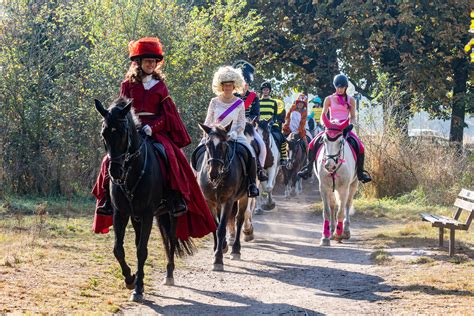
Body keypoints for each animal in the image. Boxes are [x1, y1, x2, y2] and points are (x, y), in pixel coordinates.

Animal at [95, 98, 193, 302]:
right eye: (104, 133)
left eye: (123, 133)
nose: (115, 172)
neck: (132, 171)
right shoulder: (120, 213)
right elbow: (118, 249)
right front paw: (130, 279)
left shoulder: (148, 214)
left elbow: (142, 250)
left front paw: (138, 289)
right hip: (137, 217)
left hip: (170, 214)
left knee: (170, 239)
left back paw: (169, 275)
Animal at [192, 122, 254, 270]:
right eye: (207, 144)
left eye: (224, 145)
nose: (213, 173)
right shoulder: (209, 201)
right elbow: (216, 226)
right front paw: (219, 248)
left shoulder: (228, 201)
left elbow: (221, 228)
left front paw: (218, 259)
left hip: (243, 197)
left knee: (239, 219)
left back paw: (236, 250)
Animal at [316, 116, 358, 247]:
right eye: (324, 140)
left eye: (340, 142)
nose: (329, 165)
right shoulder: (324, 187)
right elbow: (327, 211)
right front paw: (325, 237)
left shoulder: (344, 188)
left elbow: (341, 211)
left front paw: (339, 234)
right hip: (331, 188)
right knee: (333, 205)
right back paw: (331, 230)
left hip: (353, 185)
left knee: (347, 204)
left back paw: (345, 231)